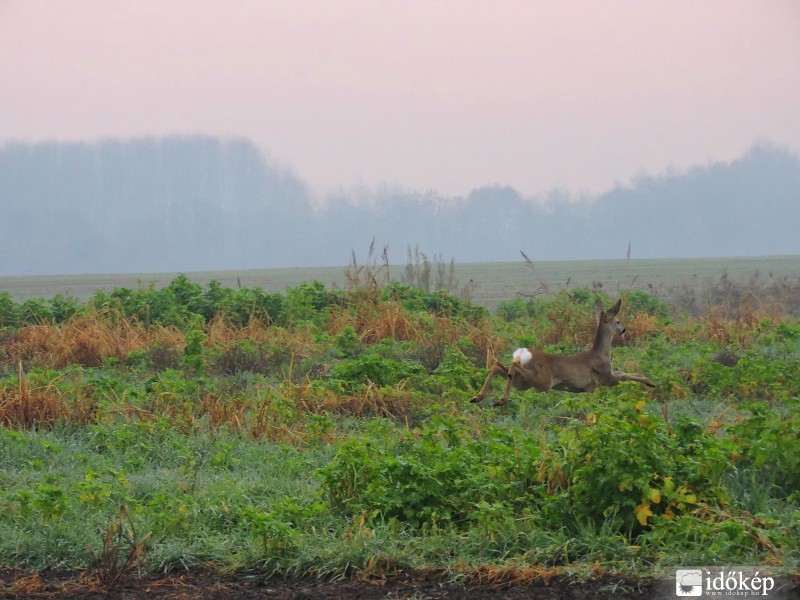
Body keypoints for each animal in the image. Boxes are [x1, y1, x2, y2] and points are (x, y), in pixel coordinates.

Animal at [472, 298, 652, 406]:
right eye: (618, 321)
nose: (624, 330)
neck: (602, 353)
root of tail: (524, 355)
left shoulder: (610, 374)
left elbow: (630, 373)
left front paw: (649, 381)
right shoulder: (605, 378)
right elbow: (627, 376)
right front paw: (651, 382)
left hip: (523, 383)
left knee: (498, 365)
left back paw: (478, 397)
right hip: (542, 381)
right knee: (512, 365)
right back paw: (500, 400)